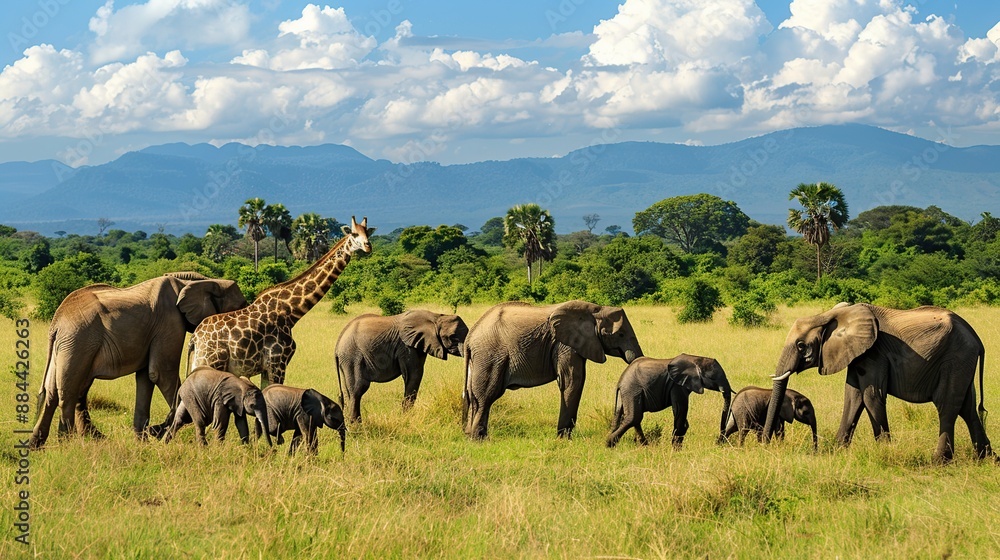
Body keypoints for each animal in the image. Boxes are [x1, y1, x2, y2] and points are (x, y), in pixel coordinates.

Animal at [29, 272, 248, 449]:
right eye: (241, 307)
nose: (155, 429)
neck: (198, 281)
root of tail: (57, 321)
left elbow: (146, 378)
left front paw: (144, 441)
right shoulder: (170, 322)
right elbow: (161, 373)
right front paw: (158, 435)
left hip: (66, 346)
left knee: (52, 392)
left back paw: (38, 445)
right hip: (79, 341)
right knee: (69, 391)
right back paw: (67, 444)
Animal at [186, 215, 376, 391]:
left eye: (367, 233)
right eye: (354, 234)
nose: (368, 246)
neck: (291, 311)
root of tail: (195, 339)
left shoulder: (267, 368)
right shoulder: (278, 362)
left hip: (199, 363)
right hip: (212, 362)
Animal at [335, 309, 468, 423]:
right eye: (452, 337)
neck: (436, 317)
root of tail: (337, 346)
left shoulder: (419, 344)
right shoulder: (406, 347)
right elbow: (414, 375)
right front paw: (407, 418)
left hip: (346, 361)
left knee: (348, 392)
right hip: (353, 357)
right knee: (357, 389)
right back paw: (357, 427)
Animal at [463, 300, 644, 439]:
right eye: (620, 334)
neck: (596, 309)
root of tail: (469, 338)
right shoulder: (565, 344)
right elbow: (572, 381)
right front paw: (564, 439)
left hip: (480, 359)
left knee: (473, 396)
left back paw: (469, 435)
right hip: (490, 356)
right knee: (486, 396)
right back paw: (478, 439)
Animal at [763, 303, 993, 462]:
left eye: (801, 346)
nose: (765, 445)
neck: (834, 315)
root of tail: (976, 338)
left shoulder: (874, 354)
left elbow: (871, 396)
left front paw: (885, 450)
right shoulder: (856, 355)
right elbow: (852, 397)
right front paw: (838, 451)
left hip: (954, 359)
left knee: (947, 406)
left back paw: (939, 461)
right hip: (962, 363)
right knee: (967, 408)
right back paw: (987, 459)